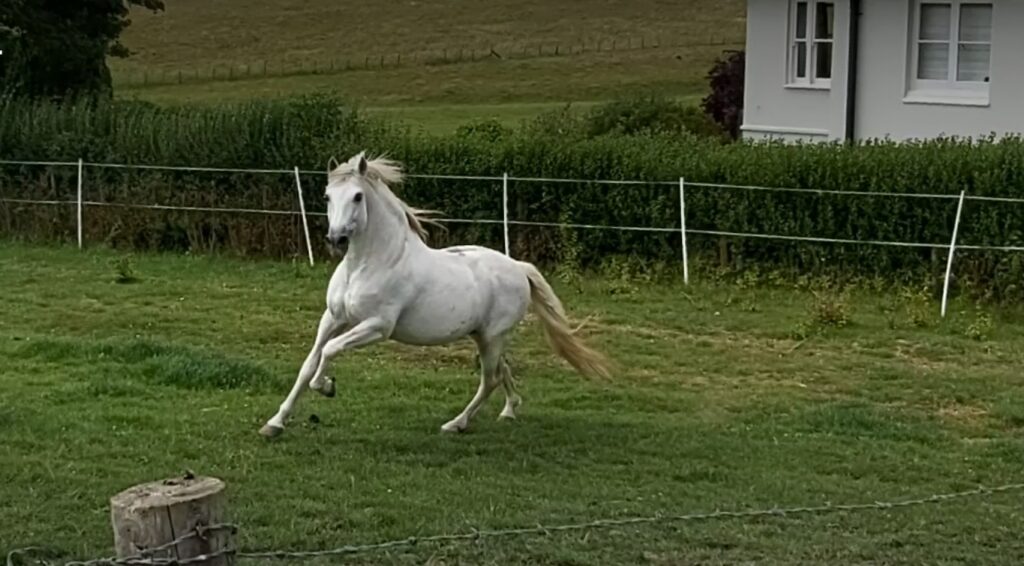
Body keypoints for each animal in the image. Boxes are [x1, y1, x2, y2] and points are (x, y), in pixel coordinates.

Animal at [260, 151, 610, 436]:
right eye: (327, 196)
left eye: (358, 196)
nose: (336, 240)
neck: (370, 263)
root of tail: (518, 267)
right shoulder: (333, 318)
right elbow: (309, 364)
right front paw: (275, 423)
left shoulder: (377, 326)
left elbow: (330, 351)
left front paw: (327, 386)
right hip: (484, 336)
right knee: (503, 371)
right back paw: (509, 411)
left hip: (492, 336)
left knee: (490, 379)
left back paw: (456, 424)